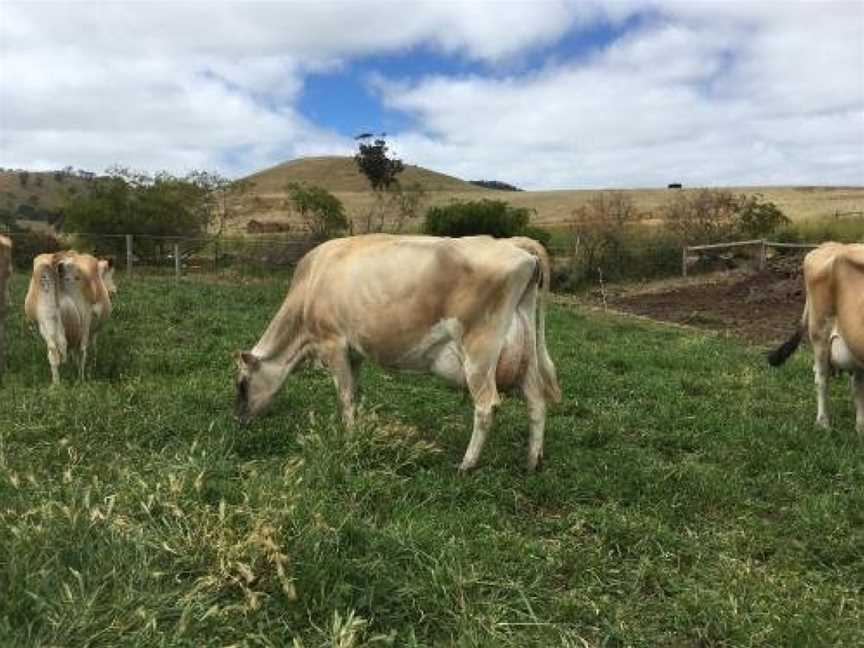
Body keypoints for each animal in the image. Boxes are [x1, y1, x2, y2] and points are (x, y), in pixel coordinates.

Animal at [24, 251, 115, 384]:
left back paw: (56, 384)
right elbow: (92, 347)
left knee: (53, 352)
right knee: (82, 350)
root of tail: (57, 258)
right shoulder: (94, 330)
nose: (113, 290)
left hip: (46, 318)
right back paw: (80, 379)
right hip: (84, 318)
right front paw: (93, 363)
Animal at [235, 233, 560, 470]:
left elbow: (344, 396)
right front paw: (359, 430)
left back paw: (466, 465)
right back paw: (533, 462)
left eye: (241, 384)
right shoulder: (354, 351)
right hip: (523, 349)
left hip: (479, 352)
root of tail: (513, 244)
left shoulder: (333, 343)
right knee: (536, 400)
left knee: (487, 406)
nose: (238, 420)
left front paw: (348, 438)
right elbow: (356, 393)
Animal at [768, 243, 864, 436]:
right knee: (821, 378)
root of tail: (829, 245)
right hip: (819, 333)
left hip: (851, 342)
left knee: (856, 385)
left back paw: (860, 426)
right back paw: (823, 422)